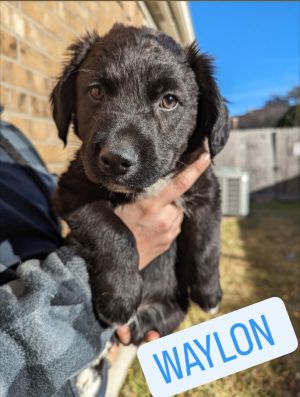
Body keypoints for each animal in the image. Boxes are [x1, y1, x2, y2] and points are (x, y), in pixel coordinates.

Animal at [51, 24, 230, 344]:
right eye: (95, 91)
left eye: (169, 101)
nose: (116, 159)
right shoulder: (72, 191)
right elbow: (115, 233)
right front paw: (120, 300)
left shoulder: (207, 190)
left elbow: (207, 242)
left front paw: (209, 294)